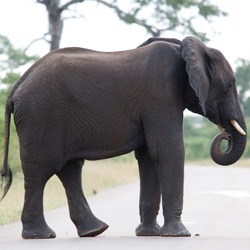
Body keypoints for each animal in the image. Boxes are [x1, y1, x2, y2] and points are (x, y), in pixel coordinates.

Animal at [0, 35, 246, 238]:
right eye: (229, 85)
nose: (224, 136)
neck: (185, 49)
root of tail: (17, 87)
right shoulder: (162, 96)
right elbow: (168, 152)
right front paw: (179, 234)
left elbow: (149, 157)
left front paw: (149, 234)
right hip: (40, 117)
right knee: (40, 171)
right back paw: (40, 235)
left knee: (69, 169)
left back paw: (94, 230)